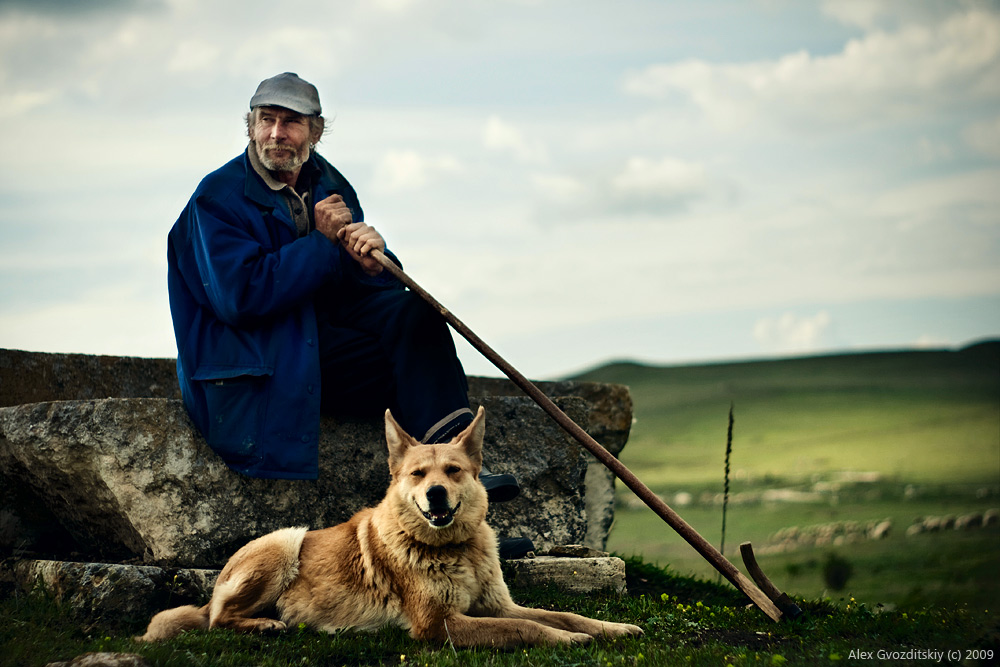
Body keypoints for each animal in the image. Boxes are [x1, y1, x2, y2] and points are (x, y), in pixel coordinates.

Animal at [137, 408, 644, 648]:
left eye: (454, 470)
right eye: (418, 474)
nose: (436, 494)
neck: (453, 549)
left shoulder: (498, 606)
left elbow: (562, 614)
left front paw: (612, 628)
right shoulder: (439, 624)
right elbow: (528, 630)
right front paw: (569, 641)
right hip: (286, 541)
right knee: (217, 620)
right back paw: (264, 624)